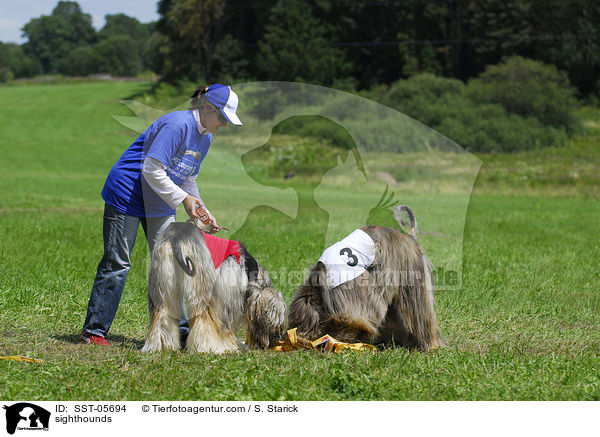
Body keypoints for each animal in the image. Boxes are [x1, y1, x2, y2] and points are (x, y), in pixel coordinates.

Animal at [141, 220, 286, 352]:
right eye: (276, 319)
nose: (279, 337)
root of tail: (176, 235)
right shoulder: (228, 295)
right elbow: (226, 326)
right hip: (202, 284)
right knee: (203, 318)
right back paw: (207, 347)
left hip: (163, 283)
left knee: (162, 314)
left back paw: (161, 345)